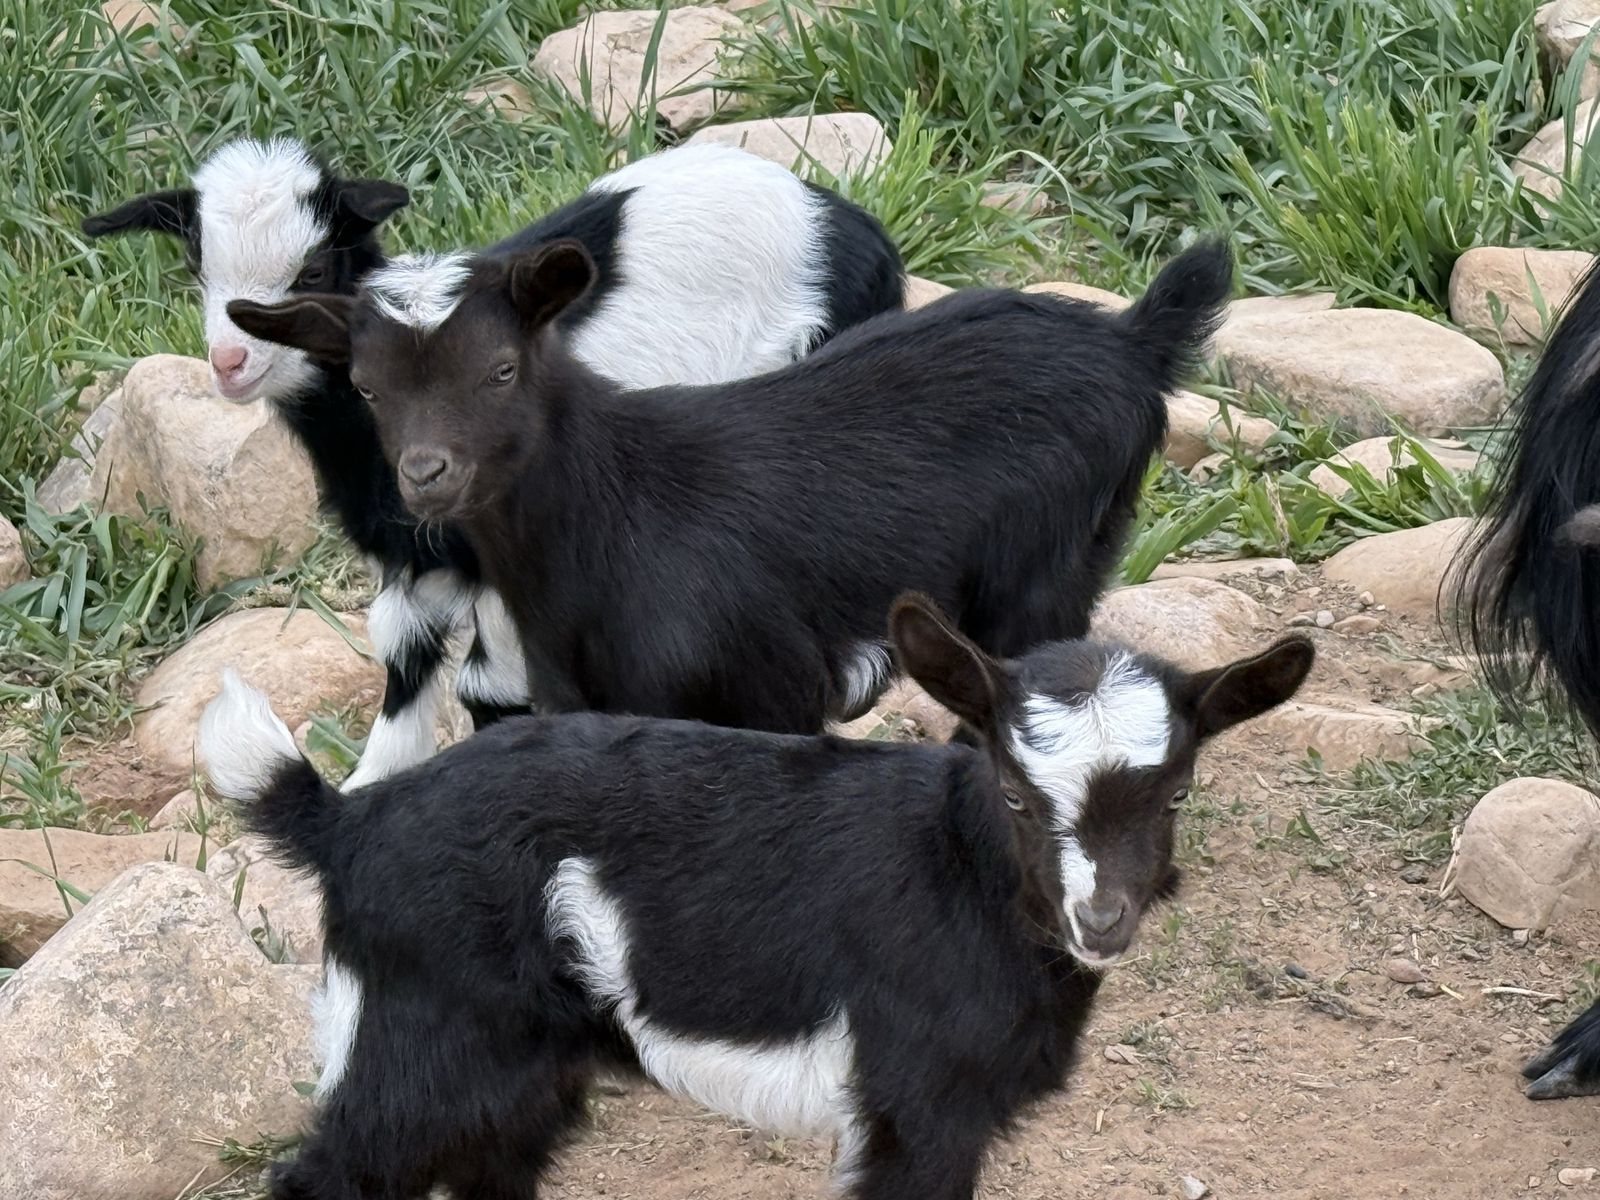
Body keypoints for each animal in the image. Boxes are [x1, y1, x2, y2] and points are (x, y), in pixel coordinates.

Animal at [84, 138, 903, 786]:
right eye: (198, 267)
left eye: (313, 270)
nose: (230, 362)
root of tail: (857, 228)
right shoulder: (407, 559)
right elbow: (405, 666)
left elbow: (491, 687)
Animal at [200, 592, 1314, 1200]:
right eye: (1012, 791)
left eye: (1176, 793)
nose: (1102, 919)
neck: (958, 868)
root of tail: (351, 824)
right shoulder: (916, 1103)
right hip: (420, 1029)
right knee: (338, 1170)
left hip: (521, 1062)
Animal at [228, 238, 1234, 734]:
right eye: (367, 386)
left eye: (502, 369)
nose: (427, 475)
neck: (614, 513)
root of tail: (1131, 339)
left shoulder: (768, 686)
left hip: (1044, 573)